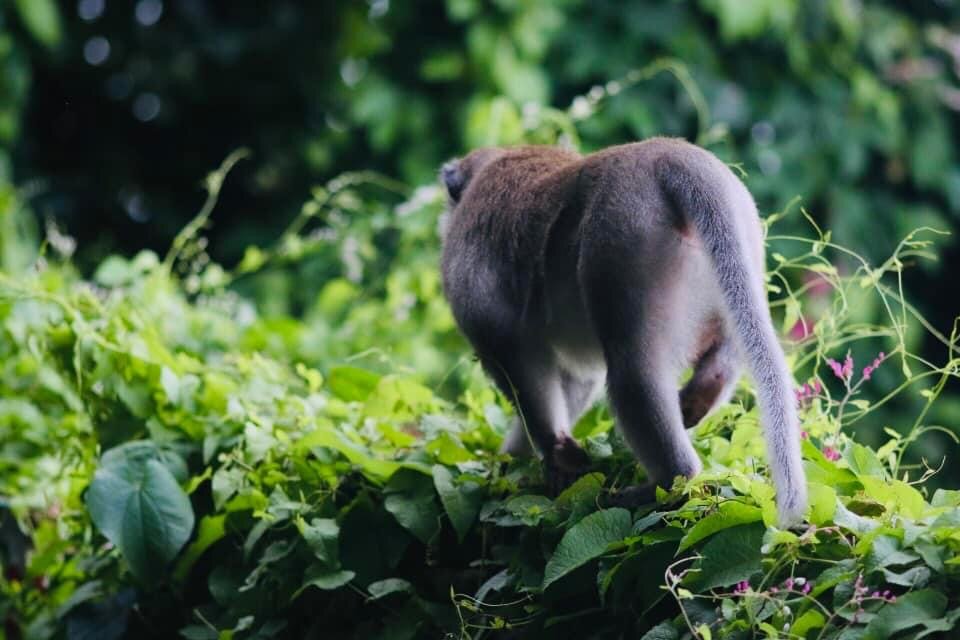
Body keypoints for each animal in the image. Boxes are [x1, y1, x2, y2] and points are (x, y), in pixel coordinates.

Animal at [442, 138, 808, 528]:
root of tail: (672, 156)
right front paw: (520, 459)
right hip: (740, 239)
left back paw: (671, 480)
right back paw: (706, 389)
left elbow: (514, 359)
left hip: (623, 241)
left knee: (632, 373)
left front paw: (547, 454)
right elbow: (573, 378)